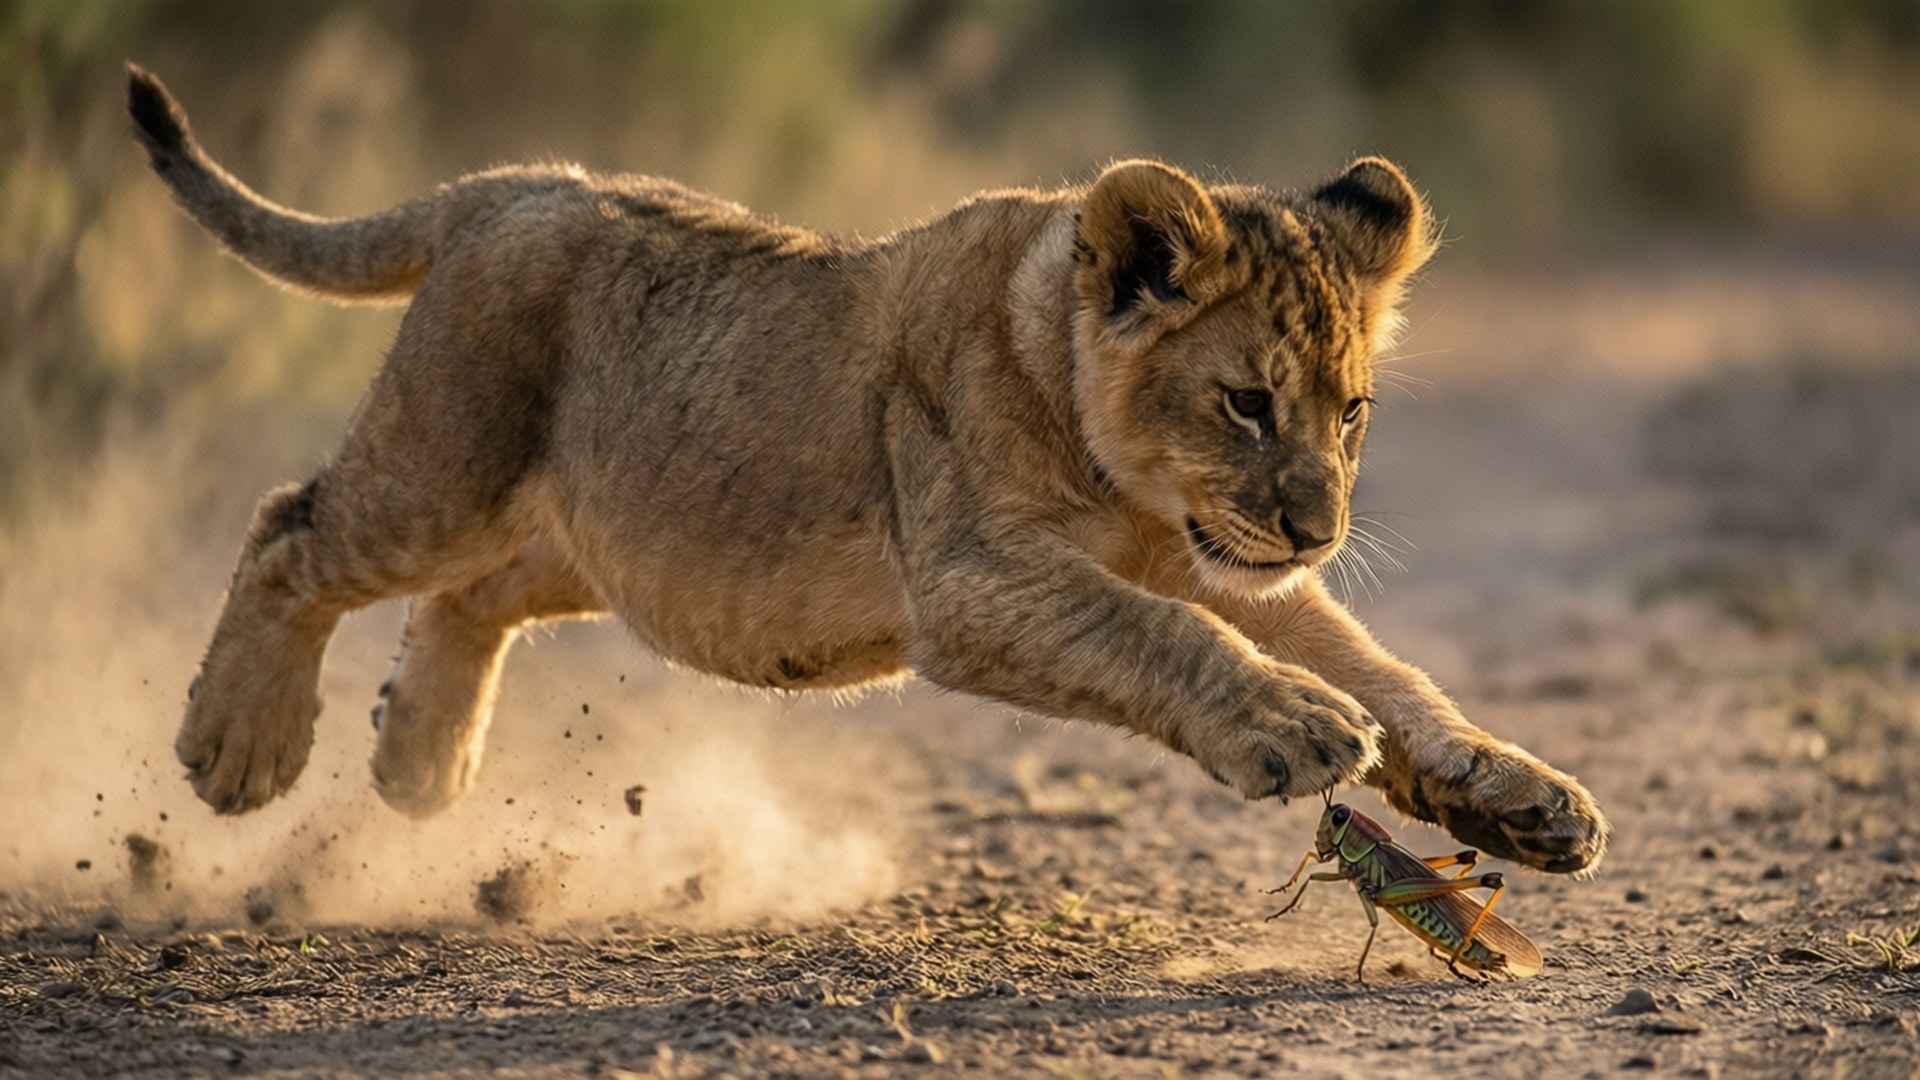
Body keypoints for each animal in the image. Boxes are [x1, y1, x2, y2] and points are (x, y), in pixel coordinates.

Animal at [127, 64, 1607, 874]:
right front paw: (1297, 728)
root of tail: (511, 182)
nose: (1317, 528)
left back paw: (418, 764)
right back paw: (240, 748)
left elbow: (1386, 668)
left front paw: (1516, 794)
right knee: (291, 531)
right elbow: (1168, 634)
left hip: (594, 539)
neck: (1128, 487)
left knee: (467, 601)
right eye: (1246, 404)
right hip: (447, 468)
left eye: (1351, 414)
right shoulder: (975, 582)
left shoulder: (1221, 563)